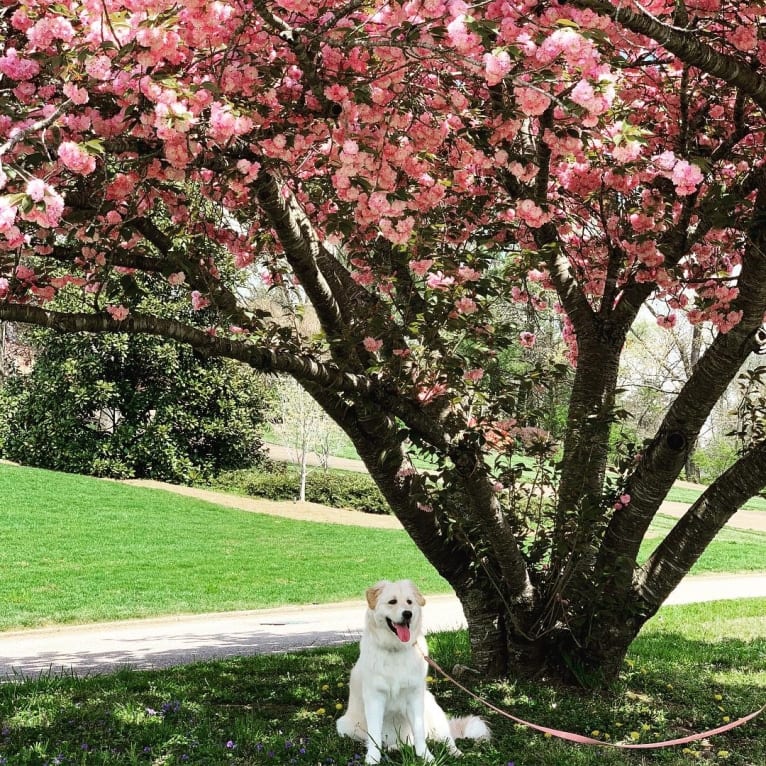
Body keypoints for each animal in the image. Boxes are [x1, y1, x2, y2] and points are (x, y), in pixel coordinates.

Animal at [338, 580, 492, 764]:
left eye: (409, 602)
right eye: (392, 602)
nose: (407, 614)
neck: (396, 649)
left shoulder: (414, 697)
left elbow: (419, 731)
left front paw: (426, 757)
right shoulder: (375, 698)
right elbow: (374, 734)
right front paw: (373, 759)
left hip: (432, 708)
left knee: (445, 738)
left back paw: (455, 753)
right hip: (344, 726)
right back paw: (393, 747)